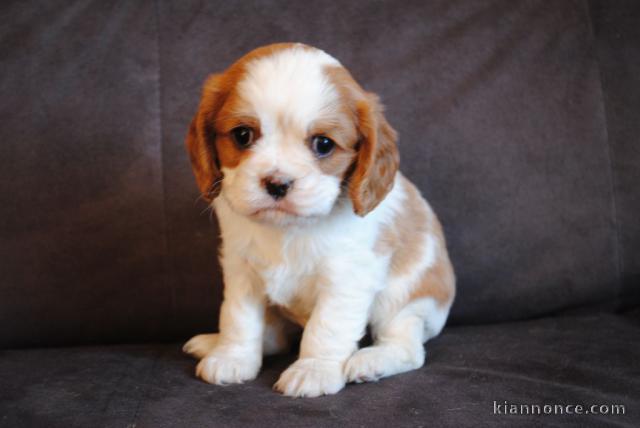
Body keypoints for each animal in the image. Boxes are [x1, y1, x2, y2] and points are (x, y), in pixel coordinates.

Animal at [182, 43, 456, 398]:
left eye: (323, 144)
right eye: (242, 135)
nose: (277, 183)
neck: (288, 229)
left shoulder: (347, 277)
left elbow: (326, 327)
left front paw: (313, 370)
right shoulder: (241, 270)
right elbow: (238, 317)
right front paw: (232, 357)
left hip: (406, 300)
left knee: (407, 345)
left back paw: (371, 361)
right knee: (277, 336)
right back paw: (213, 343)